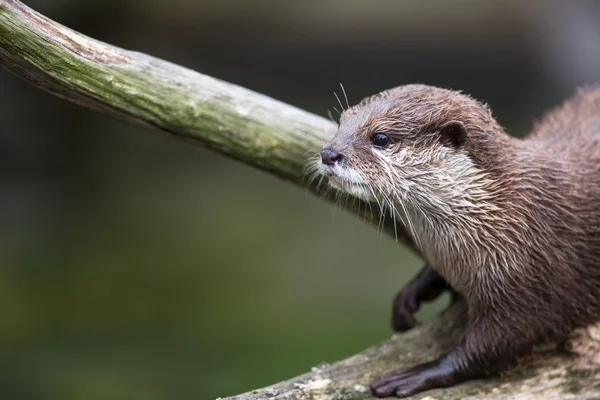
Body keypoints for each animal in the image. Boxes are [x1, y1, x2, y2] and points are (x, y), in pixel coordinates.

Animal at [316, 84, 600, 396]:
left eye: (380, 138)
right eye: (342, 121)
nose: (329, 153)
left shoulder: (537, 277)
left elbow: (503, 341)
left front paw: (422, 371)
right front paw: (410, 294)